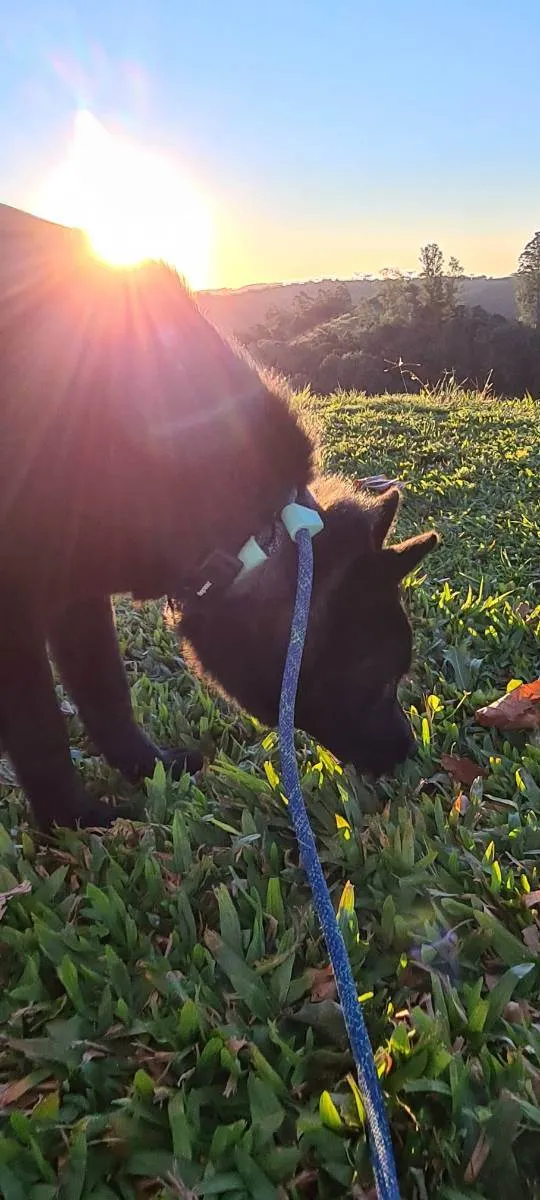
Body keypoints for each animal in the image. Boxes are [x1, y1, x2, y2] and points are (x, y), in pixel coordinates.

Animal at [0, 204, 436, 835]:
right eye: (378, 679)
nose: (408, 752)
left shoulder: (77, 593)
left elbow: (106, 692)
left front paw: (147, 765)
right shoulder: (16, 612)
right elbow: (41, 733)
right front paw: (72, 818)